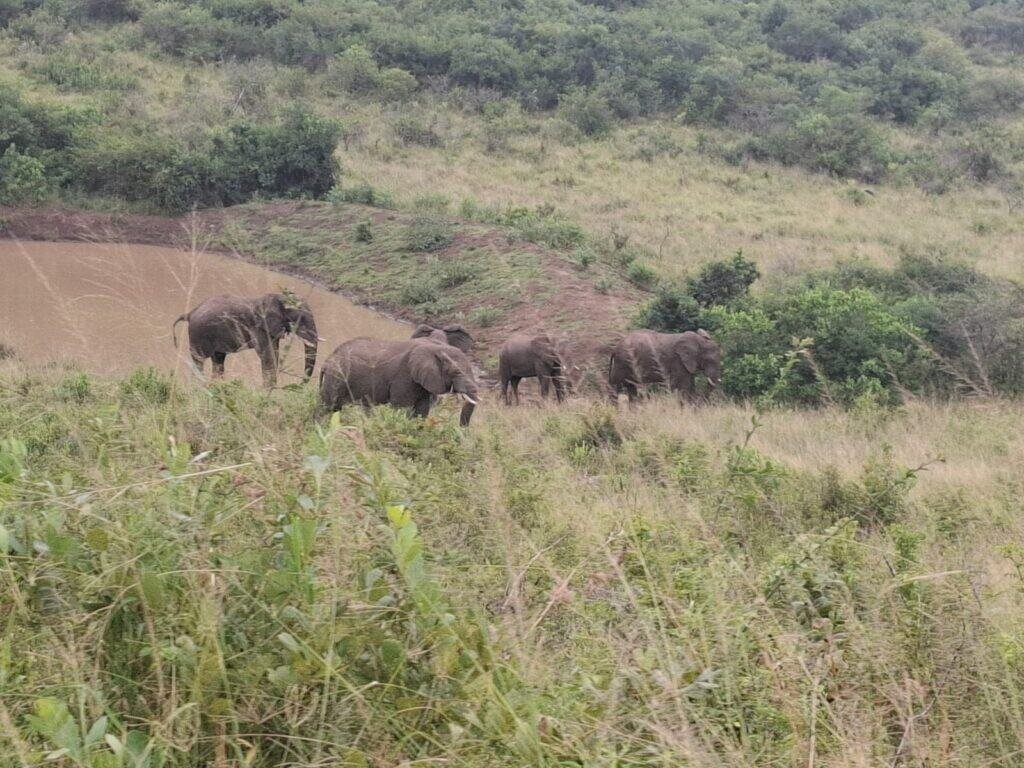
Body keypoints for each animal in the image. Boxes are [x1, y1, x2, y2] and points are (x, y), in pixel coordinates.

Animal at [172, 293, 320, 387]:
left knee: (218, 360)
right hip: (198, 334)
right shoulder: (258, 327)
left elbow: (274, 354)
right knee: (200, 360)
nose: (299, 385)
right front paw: (268, 389)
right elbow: (268, 356)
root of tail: (190, 313)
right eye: (300, 317)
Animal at [319, 338, 479, 425]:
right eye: (456, 372)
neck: (436, 347)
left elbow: (422, 410)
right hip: (336, 378)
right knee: (329, 405)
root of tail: (327, 360)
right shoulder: (404, 375)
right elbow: (403, 408)